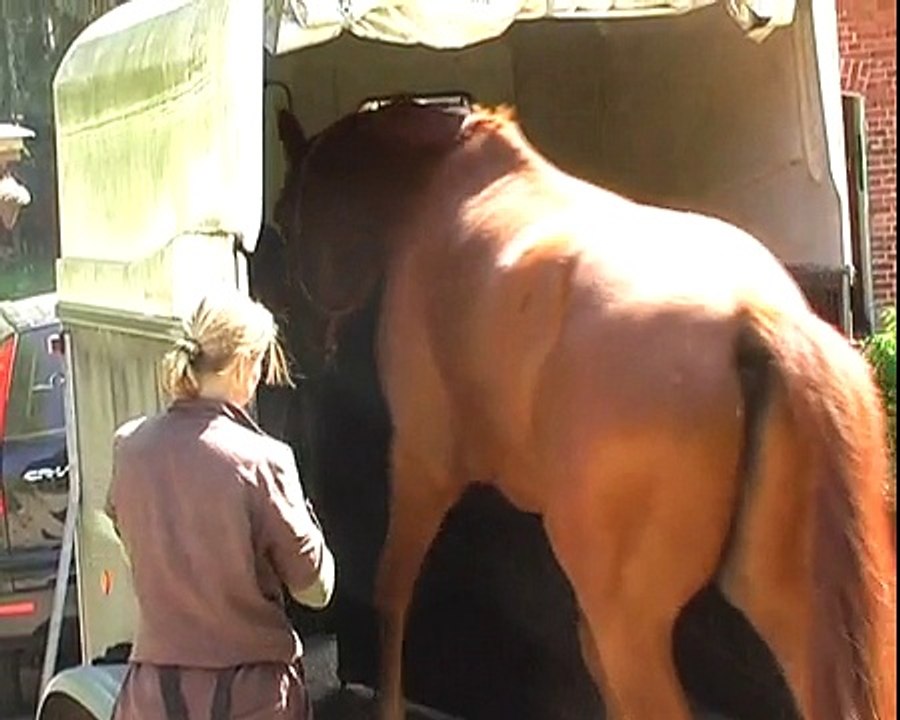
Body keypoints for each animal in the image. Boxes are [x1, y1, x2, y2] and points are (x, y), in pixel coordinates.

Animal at [273, 99, 896, 720]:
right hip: (787, 610)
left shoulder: (423, 466)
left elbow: (392, 592)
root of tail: (754, 316)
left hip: (633, 627)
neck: (443, 185)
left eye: (280, 219)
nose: (296, 355)